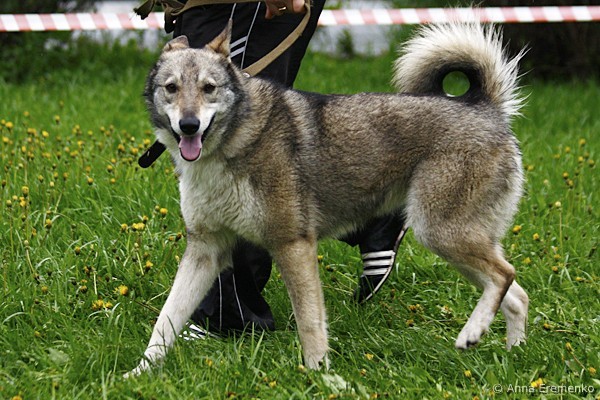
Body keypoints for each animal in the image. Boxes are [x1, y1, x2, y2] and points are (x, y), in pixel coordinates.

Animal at [125, 22, 524, 378]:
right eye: (172, 88)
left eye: (209, 88)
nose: (189, 125)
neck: (234, 141)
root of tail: (485, 107)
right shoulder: (204, 250)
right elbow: (166, 320)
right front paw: (138, 374)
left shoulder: (293, 245)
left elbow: (310, 322)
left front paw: (319, 375)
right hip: (454, 242)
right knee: (516, 295)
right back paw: (513, 355)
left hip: (440, 234)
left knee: (505, 275)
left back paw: (473, 333)